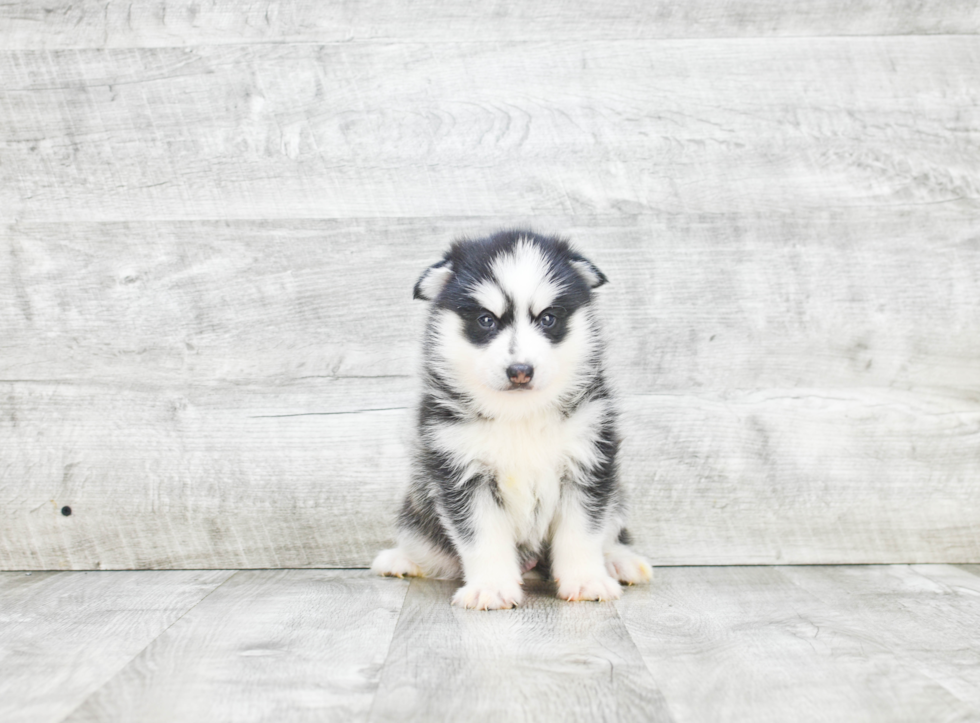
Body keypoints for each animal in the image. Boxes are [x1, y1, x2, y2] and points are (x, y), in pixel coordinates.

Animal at [372, 229, 656, 608]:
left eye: (548, 318)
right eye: (486, 320)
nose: (520, 370)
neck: (520, 414)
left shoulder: (588, 462)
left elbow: (582, 532)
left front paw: (586, 580)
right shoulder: (462, 474)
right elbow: (483, 537)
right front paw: (491, 587)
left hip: (617, 497)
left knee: (610, 533)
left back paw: (620, 561)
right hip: (418, 509)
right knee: (427, 548)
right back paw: (399, 559)